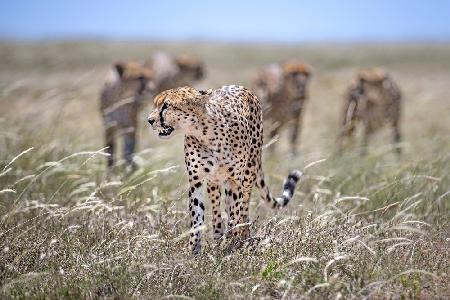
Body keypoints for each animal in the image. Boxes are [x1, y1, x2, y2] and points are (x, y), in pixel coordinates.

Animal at [148, 85, 302, 254]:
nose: (149, 120)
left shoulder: (235, 180)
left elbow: (235, 214)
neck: (204, 132)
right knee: (217, 210)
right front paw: (194, 252)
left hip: (249, 171)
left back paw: (243, 236)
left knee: (243, 206)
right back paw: (218, 237)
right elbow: (197, 217)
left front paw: (231, 246)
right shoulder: (196, 181)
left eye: (166, 106)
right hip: (215, 181)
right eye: (156, 104)